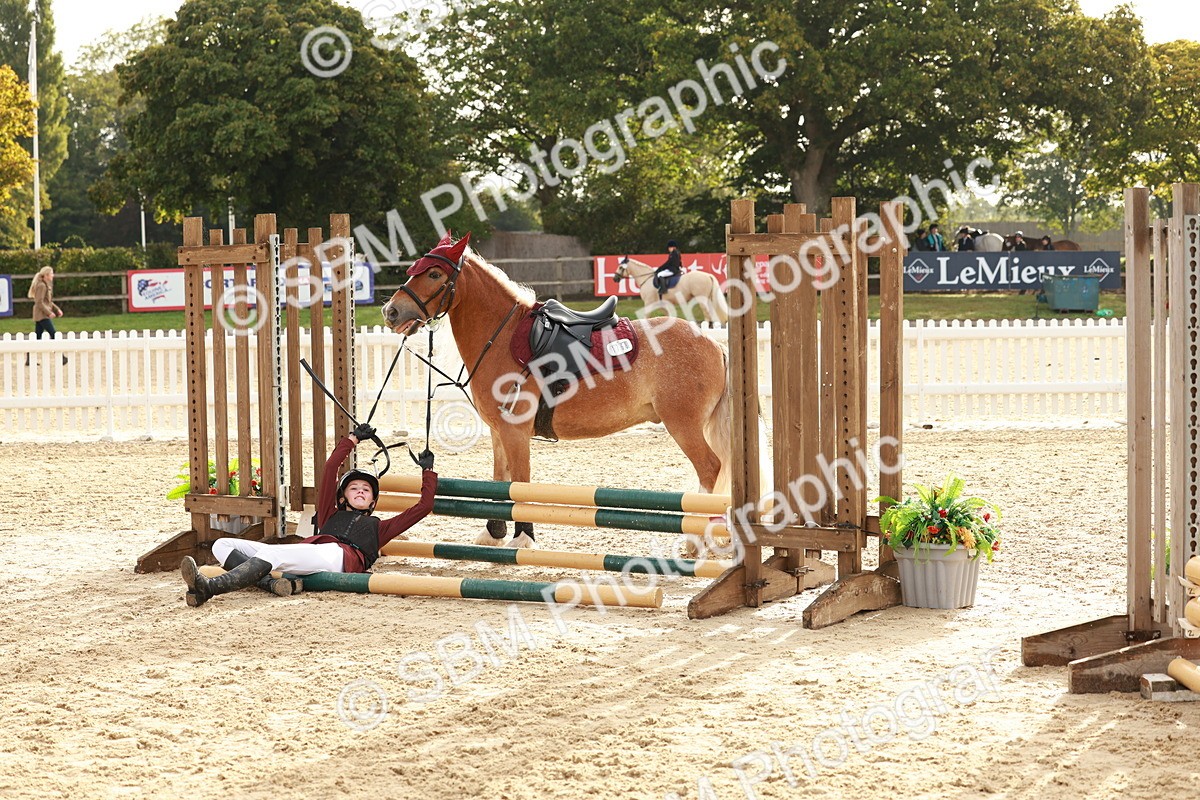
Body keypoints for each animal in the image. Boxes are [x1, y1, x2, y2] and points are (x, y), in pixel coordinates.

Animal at [382, 236, 733, 550]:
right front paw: (493, 532)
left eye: (434, 274)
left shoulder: (515, 433)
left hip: (683, 426)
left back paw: (696, 540)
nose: (390, 311)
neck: (503, 338)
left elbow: (519, 483)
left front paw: (523, 537)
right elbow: (500, 480)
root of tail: (713, 343)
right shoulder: (498, 432)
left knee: (710, 470)